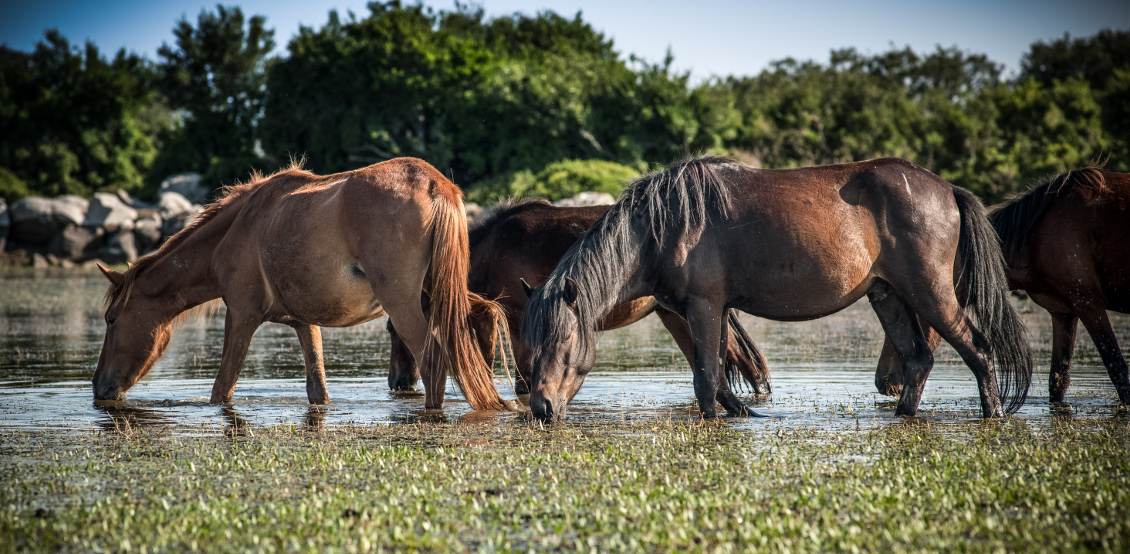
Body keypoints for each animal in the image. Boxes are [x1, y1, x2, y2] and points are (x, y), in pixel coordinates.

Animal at [92, 156, 508, 411]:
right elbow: (317, 388)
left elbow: (222, 388)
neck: (239, 228)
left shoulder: (241, 315)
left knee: (433, 359)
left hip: (404, 302)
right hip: (442, 291)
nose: (98, 386)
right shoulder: (305, 322)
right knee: (483, 317)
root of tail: (435, 184)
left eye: (111, 320)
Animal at [384, 201, 772, 400]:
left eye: (393, 330)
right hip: (674, 314)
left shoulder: (517, 318)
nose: (396, 382)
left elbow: (525, 377)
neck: (493, 248)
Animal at [522, 156, 1035, 420]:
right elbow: (718, 374)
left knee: (977, 347)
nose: (541, 407)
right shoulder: (706, 310)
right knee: (919, 359)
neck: (662, 227)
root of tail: (947, 190)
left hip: (931, 293)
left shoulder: (703, 306)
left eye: (562, 339)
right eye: (532, 342)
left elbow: (706, 379)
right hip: (886, 294)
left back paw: (993, 414)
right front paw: (745, 413)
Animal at [872, 166, 1130, 404]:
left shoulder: (1088, 303)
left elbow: (1117, 368)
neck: (1036, 237)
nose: (883, 380)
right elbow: (1058, 381)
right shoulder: (1063, 312)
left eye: (911, 308)